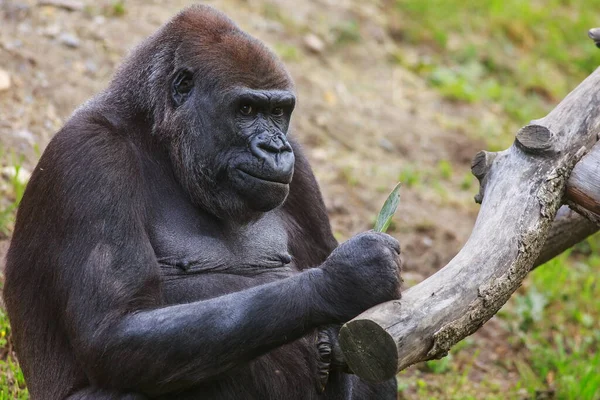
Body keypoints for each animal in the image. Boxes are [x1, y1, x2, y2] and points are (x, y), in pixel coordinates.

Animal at [3, 3, 404, 400]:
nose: (275, 148)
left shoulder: (301, 170)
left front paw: (333, 338)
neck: (159, 136)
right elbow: (114, 332)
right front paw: (345, 280)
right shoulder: (91, 155)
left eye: (278, 112)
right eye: (246, 110)